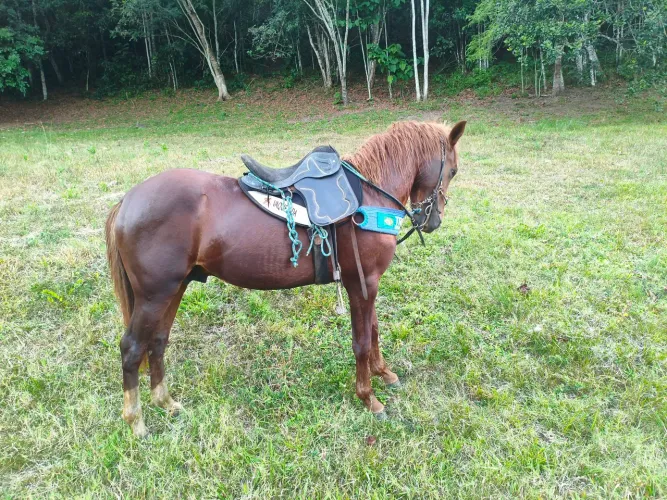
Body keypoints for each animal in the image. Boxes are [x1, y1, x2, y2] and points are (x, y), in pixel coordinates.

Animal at [105, 119, 467, 437]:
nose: (433, 221)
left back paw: (165, 402)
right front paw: (368, 398)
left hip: (173, 289)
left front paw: (384, 373)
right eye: (452, 170)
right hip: (154, 295)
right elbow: (362, 341)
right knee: (132, 348)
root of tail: (127, 201)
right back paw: (136, 421)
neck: (370, 195)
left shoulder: (369, 284)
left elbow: (375, 331)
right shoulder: (361, 284)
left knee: (157, 341)